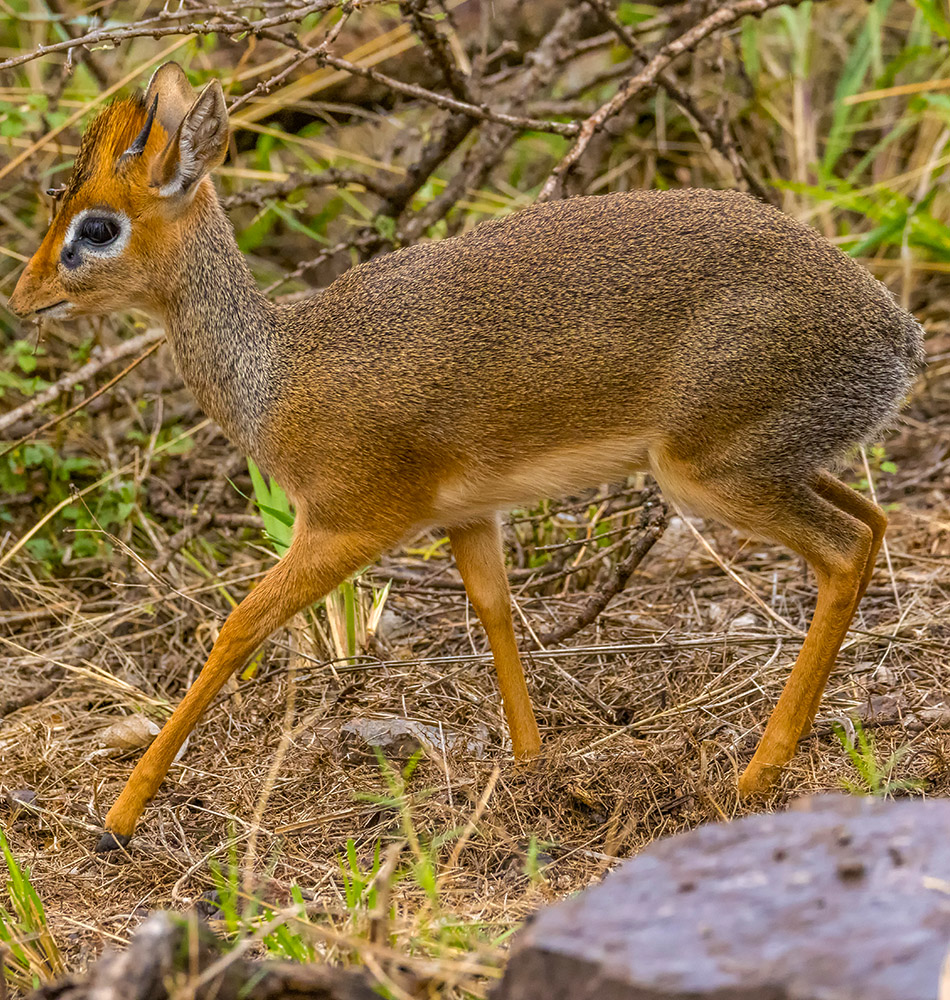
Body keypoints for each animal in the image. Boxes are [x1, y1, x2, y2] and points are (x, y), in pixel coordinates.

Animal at [9, 62, 924, 848]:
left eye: (97, 225)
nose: (21, 298)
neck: (275, 374)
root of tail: (896, 332)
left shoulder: (343, 524)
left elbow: (238, 627)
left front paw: (119, 817)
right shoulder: (469, 516)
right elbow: (494, 613)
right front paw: (534, 769)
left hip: (708, 475)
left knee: (844, 550)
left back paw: (754, 776)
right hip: (774, 463)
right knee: (874, 523)